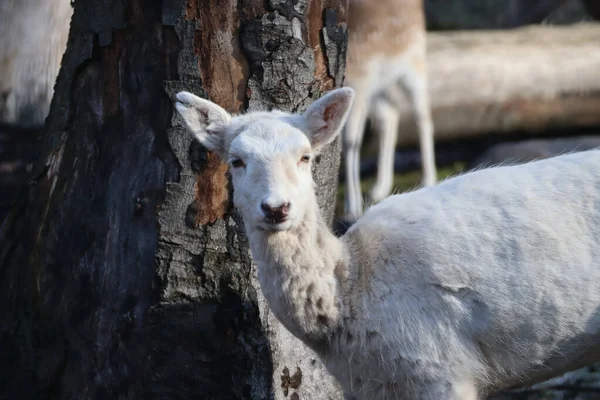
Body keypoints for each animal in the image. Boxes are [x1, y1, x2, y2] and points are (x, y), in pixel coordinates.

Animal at [342, 0, 436, 222]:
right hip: (379, 89)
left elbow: (350, 143)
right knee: (390, 116)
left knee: (423, 118)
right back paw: (379, 188)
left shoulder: (359, 84)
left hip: (414, 65)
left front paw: (352, 209)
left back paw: (428, 179)